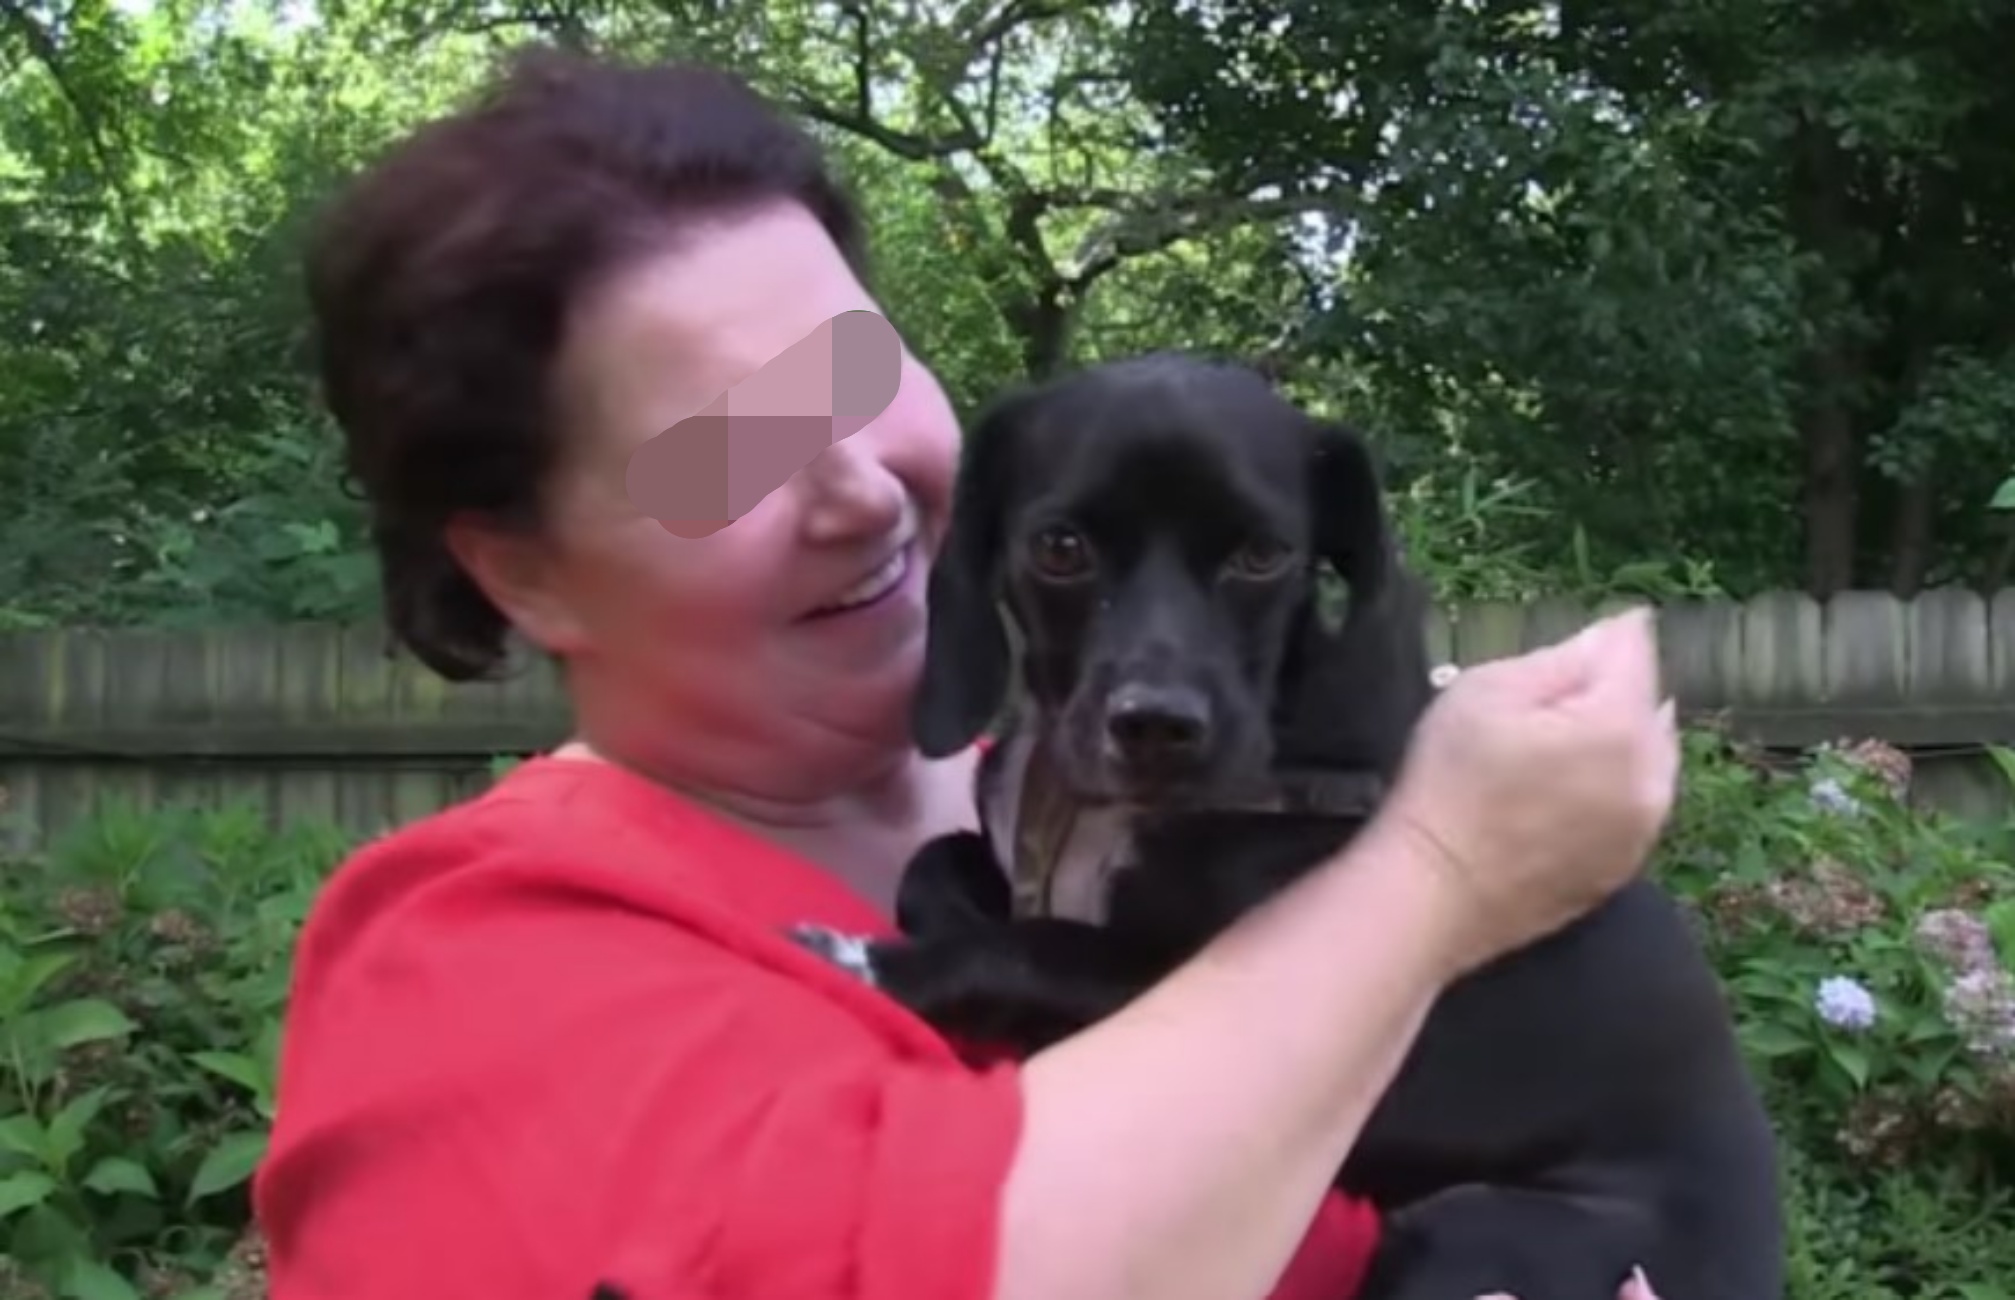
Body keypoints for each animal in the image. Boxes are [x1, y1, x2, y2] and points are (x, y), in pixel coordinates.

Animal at [818, 354, 1781, 1297]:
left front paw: (889, 966)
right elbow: (938, 863)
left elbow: (1034, 946)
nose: (1158, 727)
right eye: (1060, 548)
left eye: (1262, 554)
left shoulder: (1183, 983)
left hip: (1476, 1231)